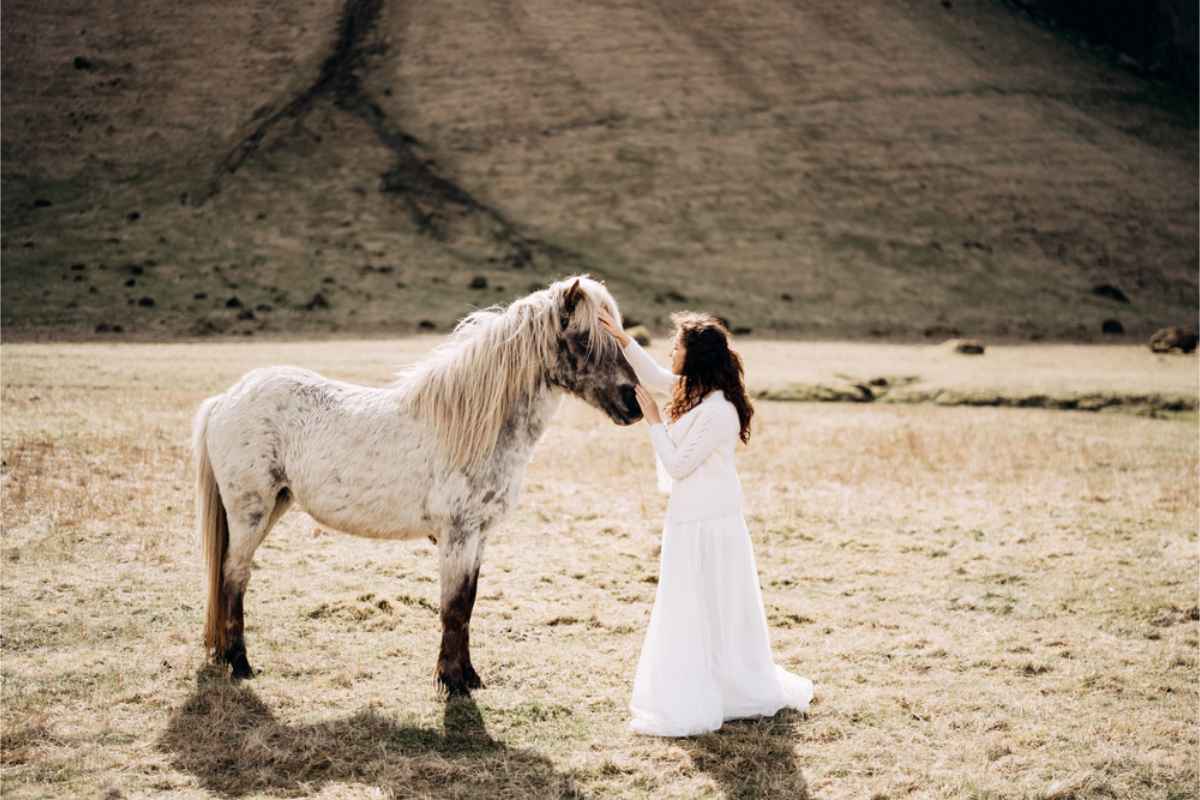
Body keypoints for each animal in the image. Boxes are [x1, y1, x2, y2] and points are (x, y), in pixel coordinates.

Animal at [193, 276, 642, 695]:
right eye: (584, 338)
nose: (633, 403)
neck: (473, 427)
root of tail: (226, 398)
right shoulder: (457, 535)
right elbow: (453, 608)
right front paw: (452, 682)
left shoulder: (478, 537)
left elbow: (468, 605)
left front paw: (468, 676)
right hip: (251, 512)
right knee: (234, 575)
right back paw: (240, 665)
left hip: (274, 506)